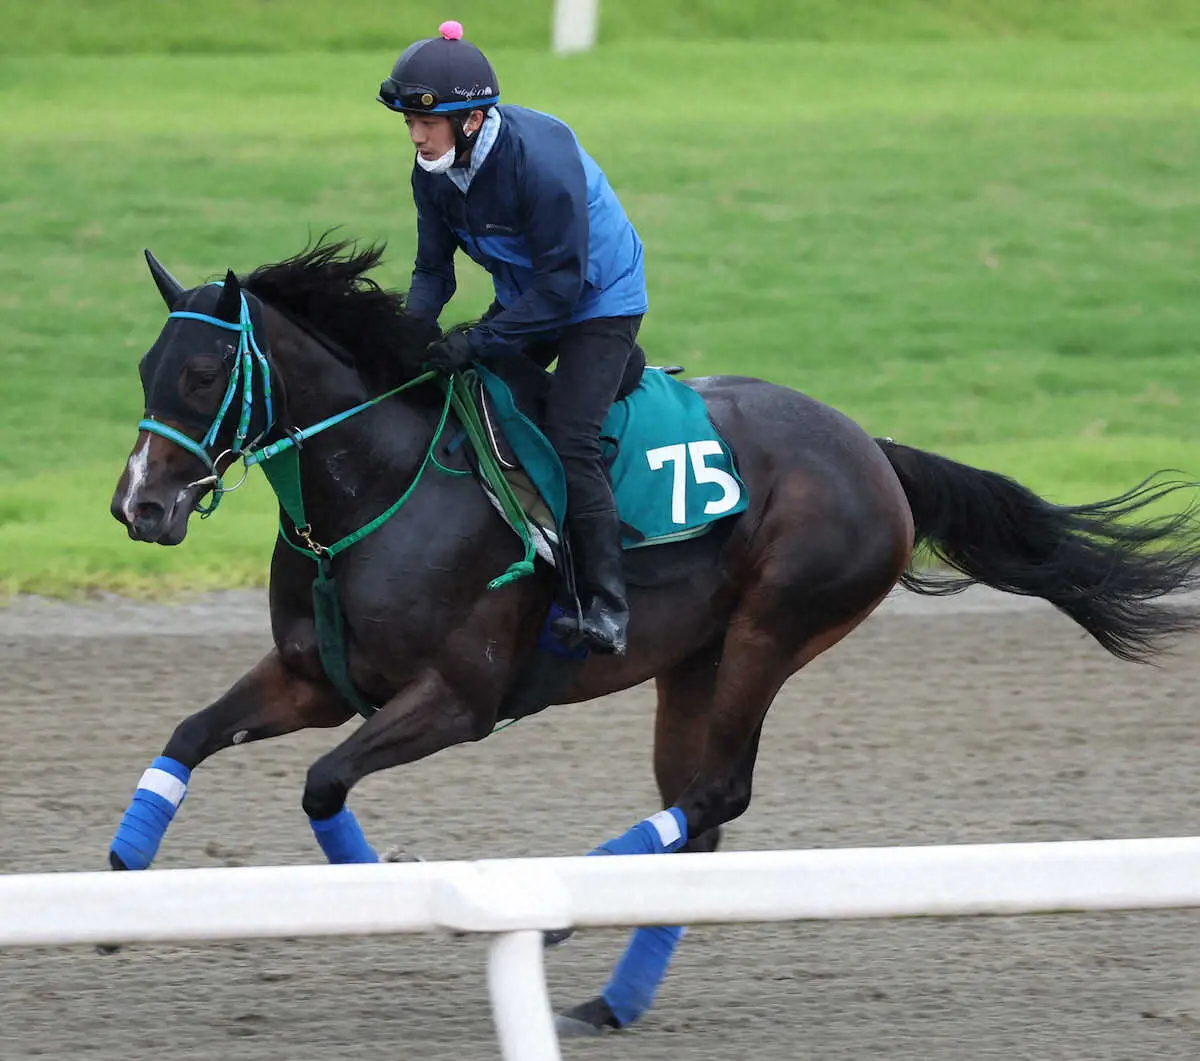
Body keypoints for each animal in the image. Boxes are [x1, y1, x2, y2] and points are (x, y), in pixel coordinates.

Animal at [108, 238, 1200, 1036]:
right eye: (145, 367)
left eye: (202, 373)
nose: (139, 505)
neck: (380, 486)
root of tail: (873, 447)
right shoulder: (314, 678)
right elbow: (188, 733)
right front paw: (118, 883)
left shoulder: (459, 699)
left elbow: (323, 781)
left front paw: (395, 884)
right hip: (696, 662)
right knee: (699, 815)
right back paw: (612, 998)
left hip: (775, 627)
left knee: (717, 796)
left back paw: (562, 915)